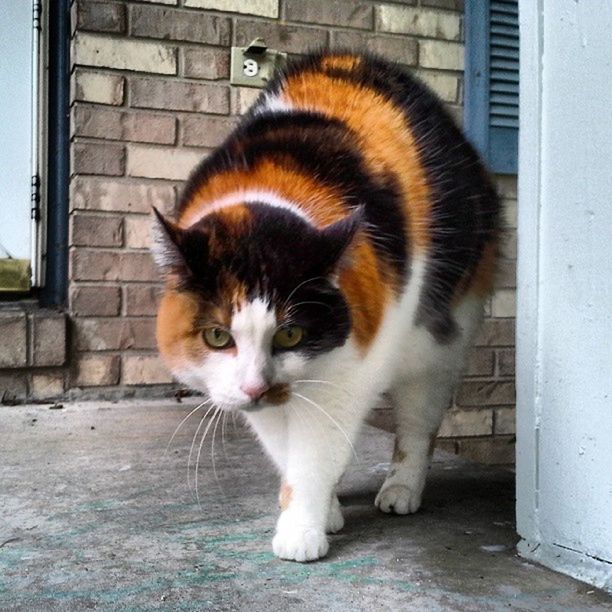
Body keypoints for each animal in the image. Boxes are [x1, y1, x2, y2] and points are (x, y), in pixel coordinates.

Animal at [151, 50, 500, 560]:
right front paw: (324, 512)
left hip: (439, 340)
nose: (256, 388)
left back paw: (401, 491)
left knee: (418, 424)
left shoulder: (347, 375)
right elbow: (286, 453)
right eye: (217, 336)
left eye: (290, 333)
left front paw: (300, 533)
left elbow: (315, 454)